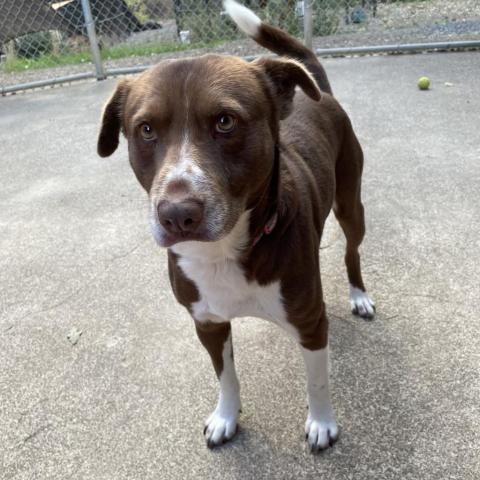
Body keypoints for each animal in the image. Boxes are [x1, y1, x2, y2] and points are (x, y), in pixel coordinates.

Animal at [96, 0, 376, 454]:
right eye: (146, 129)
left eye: (225, 121)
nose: (177, 214)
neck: (223, 251)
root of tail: (321, 95)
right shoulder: (207, 322)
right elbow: (225, 376)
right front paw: (226, 417)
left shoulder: (311, 322)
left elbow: (317, 382)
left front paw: (321, 424)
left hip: (351, 204)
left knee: (352, 249)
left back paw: (359, 295)